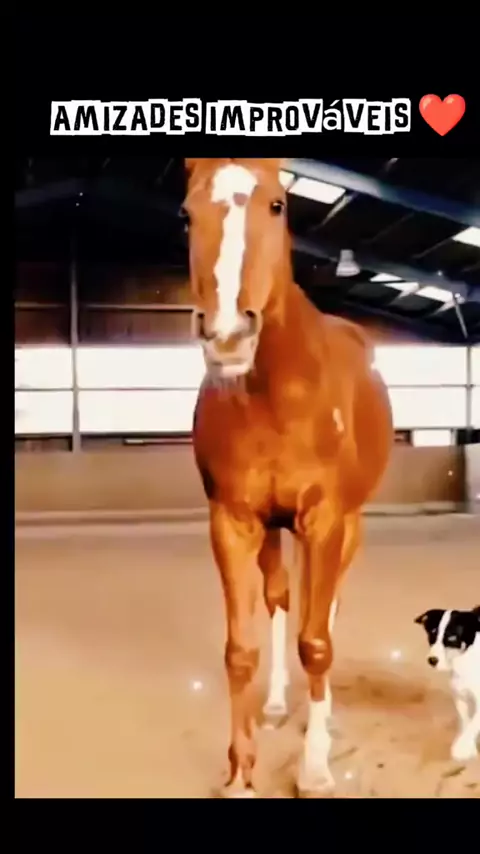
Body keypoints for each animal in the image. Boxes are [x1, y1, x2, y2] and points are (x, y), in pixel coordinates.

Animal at [182, 157, 393, 798]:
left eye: (278, 204)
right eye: (186, 213)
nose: (228, 335)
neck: (276, 391)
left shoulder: (324, 520)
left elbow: (317, 642)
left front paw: (316, 767)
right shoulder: (233, 521)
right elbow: (241, 650)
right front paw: (239, 773)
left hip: (345, 528)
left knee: (326, 609)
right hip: (276, 528)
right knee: (281, 598)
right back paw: (279, 703)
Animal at [414, 606, 480, 762]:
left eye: (452, 638)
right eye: (432, 635)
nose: (432, 660)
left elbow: (474, 723)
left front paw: (462, 748)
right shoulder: (460, 696)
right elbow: (466, 721)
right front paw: (468, 747)